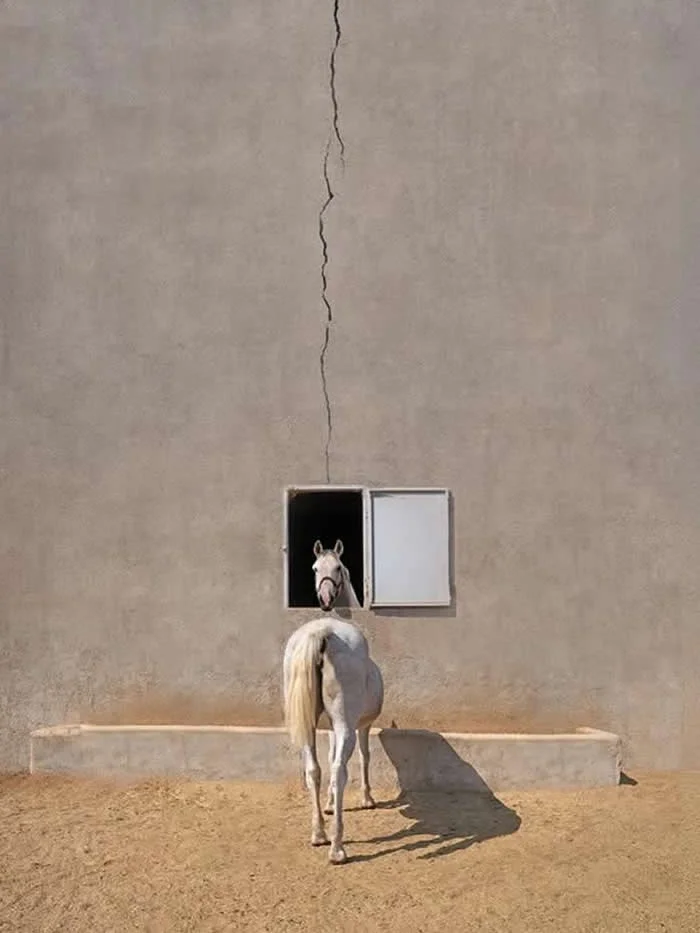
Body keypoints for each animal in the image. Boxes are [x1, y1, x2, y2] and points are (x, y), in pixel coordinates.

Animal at [283, 540, 384, 864]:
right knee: (340, 770)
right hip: (345, 727)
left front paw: (327, 805)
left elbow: (324, 761)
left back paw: (319, 834)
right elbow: (364, 757)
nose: (325, 599)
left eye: (337, 567)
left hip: (309, 727)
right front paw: (367, 798)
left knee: (313, 769)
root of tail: (322, 632)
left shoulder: (327, 729)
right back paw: (337, 847)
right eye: (316, 568)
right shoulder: (361, 726)